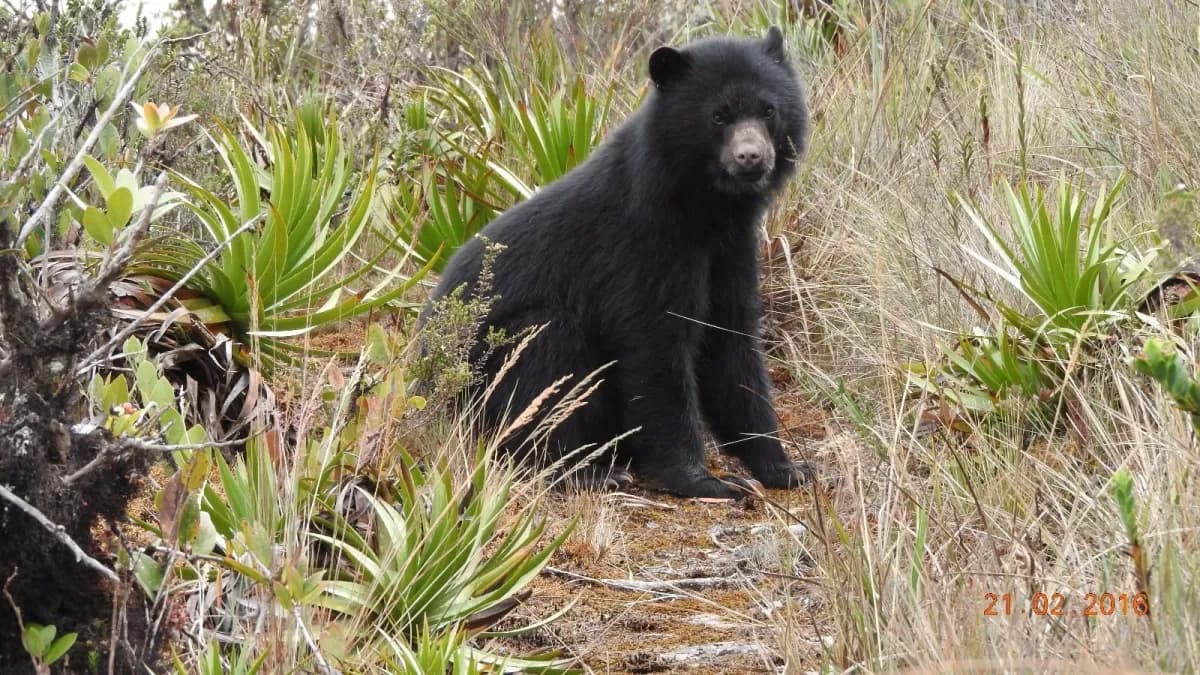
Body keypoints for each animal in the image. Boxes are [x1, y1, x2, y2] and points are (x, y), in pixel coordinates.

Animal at [422, 26, 811, 499]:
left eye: (768, 109)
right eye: (719, 117)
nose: (751, 157)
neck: (704, 211)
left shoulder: (731, 253)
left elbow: (732, 345)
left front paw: (784, 467)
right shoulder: (641, 249)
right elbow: (655, 350)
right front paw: (705, 481)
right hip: (489, 368)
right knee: (545, 359)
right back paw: (588, 471)